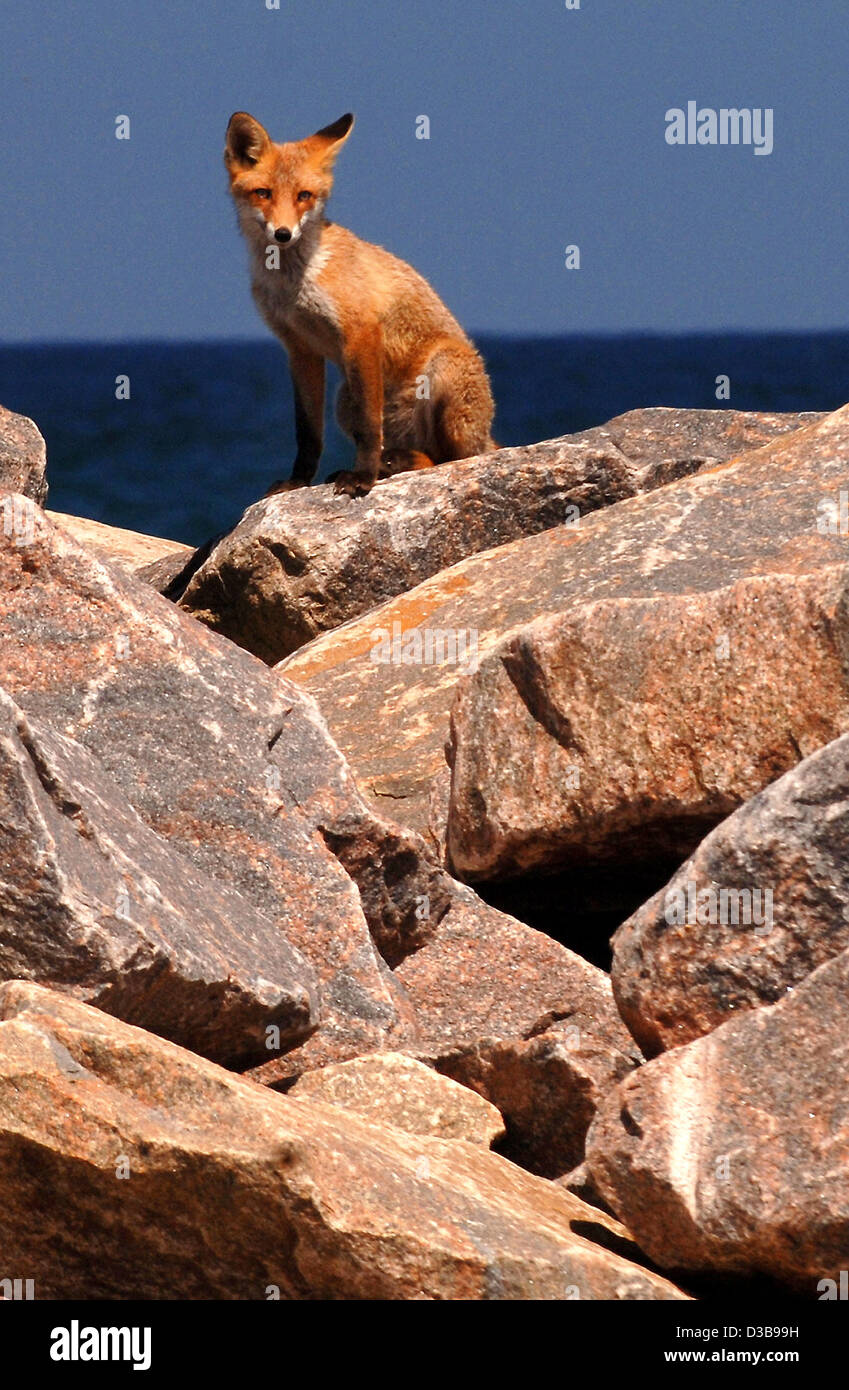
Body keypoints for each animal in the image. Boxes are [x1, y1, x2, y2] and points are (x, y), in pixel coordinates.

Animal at [223, 111, 497, 497]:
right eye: (263, 193)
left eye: (304, 196)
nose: (283, 234)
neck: (294, 283)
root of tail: (486, 436)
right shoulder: (299, 348)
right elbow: (307, 433)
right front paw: (298, 481)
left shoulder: (361, 332)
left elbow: (369, 427)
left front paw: (363, 477)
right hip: (344, 399)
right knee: (422, 452)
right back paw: (393, 461)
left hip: (443, 371)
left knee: (453, 460)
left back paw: (388, 465)